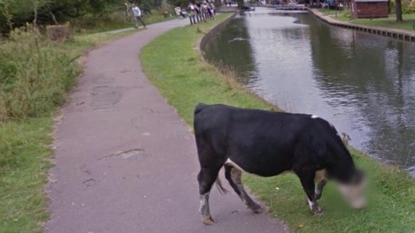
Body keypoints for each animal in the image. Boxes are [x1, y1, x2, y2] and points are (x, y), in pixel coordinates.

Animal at [193, 103, 366, 224]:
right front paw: (316, 209)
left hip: (233, 161)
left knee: (233, 178)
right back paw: (206, 217)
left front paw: (314, 199)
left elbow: (321, 184)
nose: (362, 206)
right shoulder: (304, 168)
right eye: (358, 189)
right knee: (204, 182)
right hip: (210, 161)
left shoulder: (320, 169)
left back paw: (254, 206)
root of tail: (205, 107)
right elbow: (309, 188)